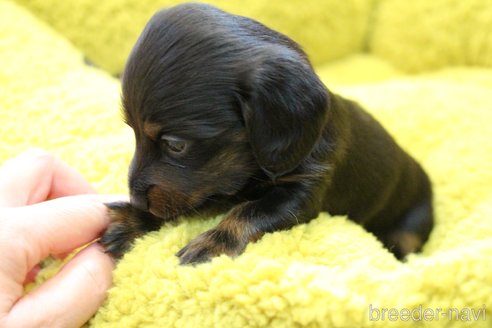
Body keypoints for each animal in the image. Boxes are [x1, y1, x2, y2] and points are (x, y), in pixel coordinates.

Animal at [101, 3, 434, 264]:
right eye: (131, 131)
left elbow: (249, 212)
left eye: (175, 145)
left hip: (411, 222)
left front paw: (213, 243)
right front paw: (133, 222)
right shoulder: (217, 185)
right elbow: (188, 203)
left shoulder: (302, 191)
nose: (137, 201)